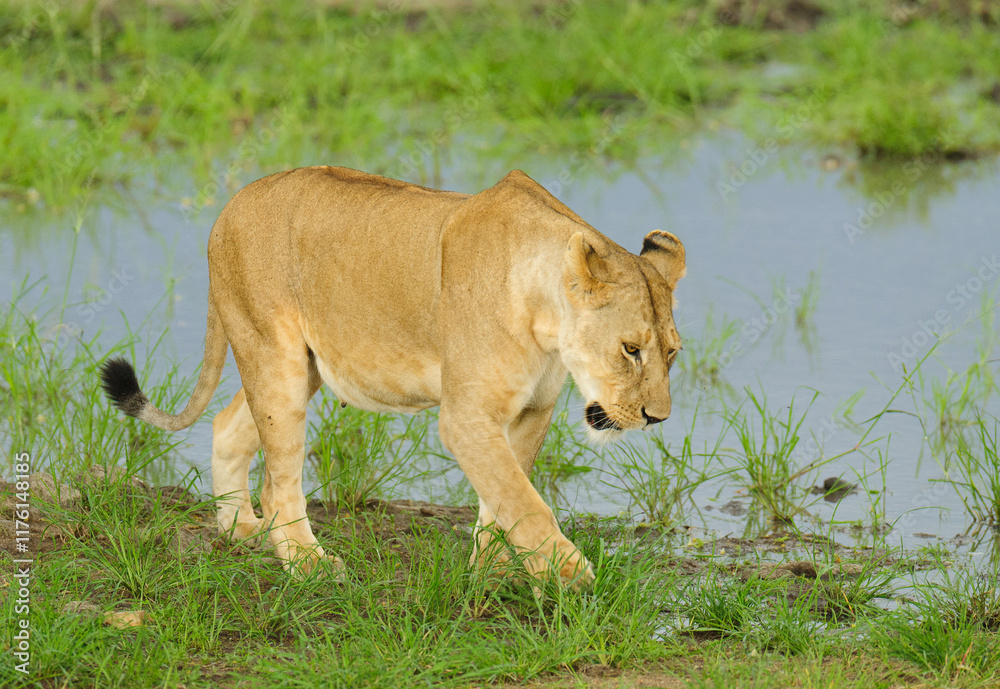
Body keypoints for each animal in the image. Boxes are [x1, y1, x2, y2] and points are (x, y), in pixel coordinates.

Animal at [100, 166, 685, 589]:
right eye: (630, 350)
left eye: (672, 354)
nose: (656, 418)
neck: (546, 317)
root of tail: (231, 206)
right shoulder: (466, 417)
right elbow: (523, 500)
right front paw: (570, 574)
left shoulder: (531, 412)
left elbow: (504, 494)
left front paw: (491, 572)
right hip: (272, 356)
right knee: (279, 479)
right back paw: (307, 563)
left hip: (300, 366)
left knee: (227, 425)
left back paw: (240, 530)